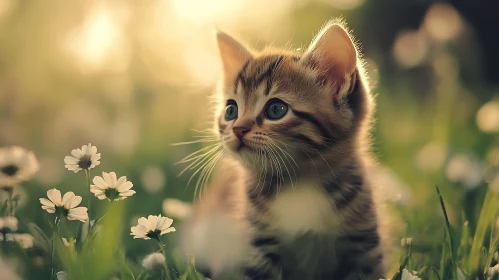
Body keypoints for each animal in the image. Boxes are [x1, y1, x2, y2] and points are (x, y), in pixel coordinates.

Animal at [181, 20, 386, 280]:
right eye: (231, 110)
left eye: (276, 109)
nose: (237, 129)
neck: (299, 183)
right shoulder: (256, 249)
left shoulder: (363, 245)